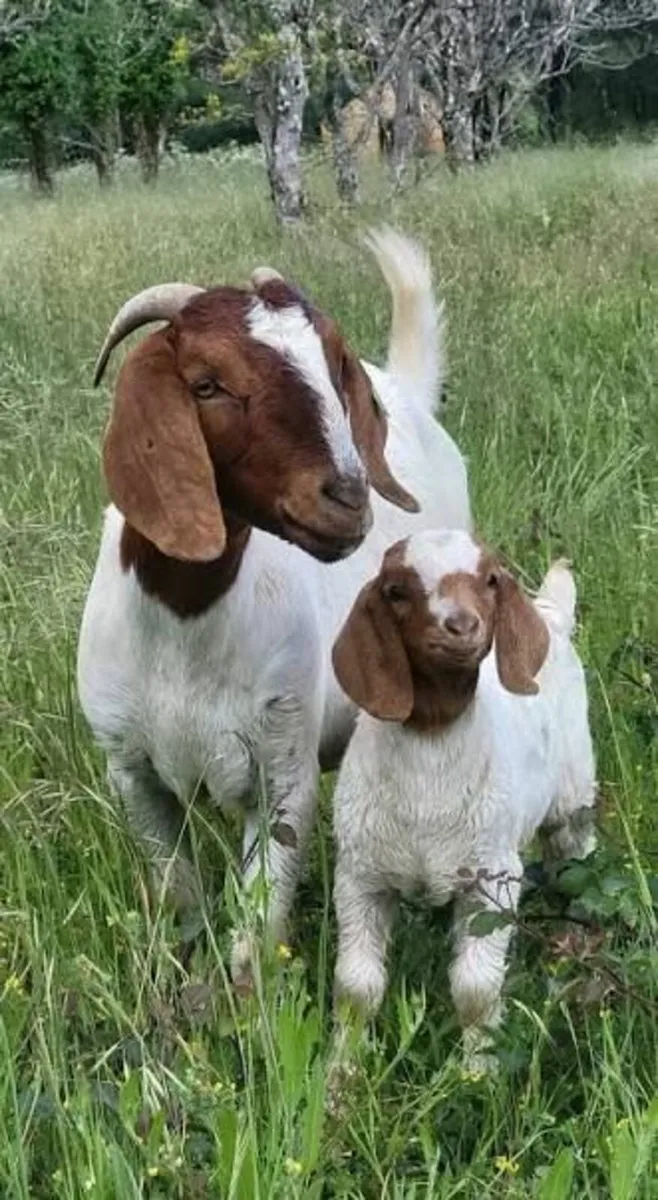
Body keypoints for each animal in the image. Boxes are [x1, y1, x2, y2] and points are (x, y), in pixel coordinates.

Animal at [76, 230, 471, 989]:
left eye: (334, 371)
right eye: (206, 383)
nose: (347, 497)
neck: (183, 630)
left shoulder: (283, 775)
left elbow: (257, 926)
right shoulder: (131, 771)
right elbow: (181, 896)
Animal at [331, 529, 597, 1067]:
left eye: (490, 580)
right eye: (396, 590)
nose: (462, 626)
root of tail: (551, 615)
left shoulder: (491, 881)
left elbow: (475, 988)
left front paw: (477, 1069)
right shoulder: (359, 876)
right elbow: (356, 987)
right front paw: (340, 1070)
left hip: (573, 792)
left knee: (577, 859)